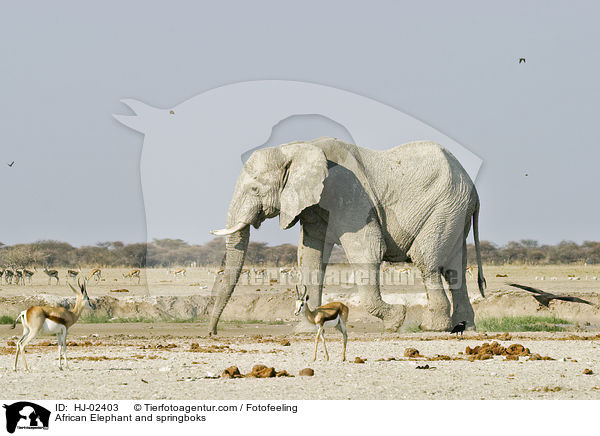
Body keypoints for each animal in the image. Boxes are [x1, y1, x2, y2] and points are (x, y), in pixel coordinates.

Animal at [209, 136, 486, 334]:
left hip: (447, 205)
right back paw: (464, 327)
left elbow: (367, 250)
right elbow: (310, 256)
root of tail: (474, 190)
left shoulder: (348, 193)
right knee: (453, 267)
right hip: (456, 210)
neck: (297, 148)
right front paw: (304, 330)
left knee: (426, 259)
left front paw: (397, 319)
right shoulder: (313, 206)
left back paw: (431, 327)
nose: (212, 332)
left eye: (255, 189)